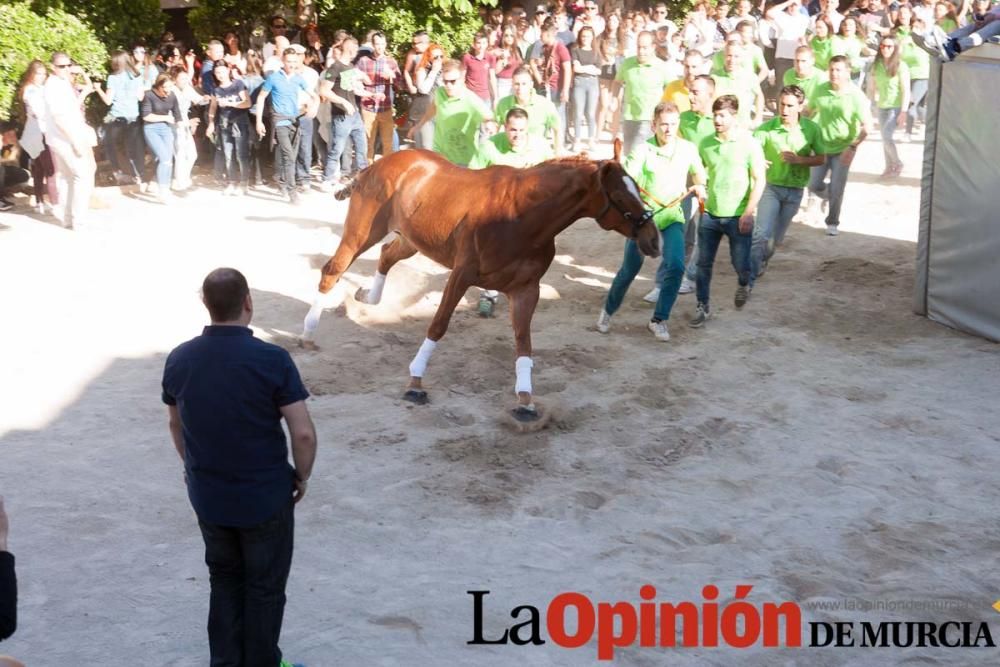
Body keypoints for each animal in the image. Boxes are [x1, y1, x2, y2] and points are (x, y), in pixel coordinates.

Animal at [298, 141, 656, 422]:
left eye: (638, 189)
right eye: (620, 196)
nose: (654, 240)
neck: (521, 216)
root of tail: (376, 164)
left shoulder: (526, 290)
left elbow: (523, 343)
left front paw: (525, 401)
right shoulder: (462, 274)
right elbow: (438, 325)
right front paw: (415, 382)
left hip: (412, 239)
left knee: (386, 256)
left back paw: (365, 297)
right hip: (362, 232)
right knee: (333, 269)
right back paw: (308, 333)